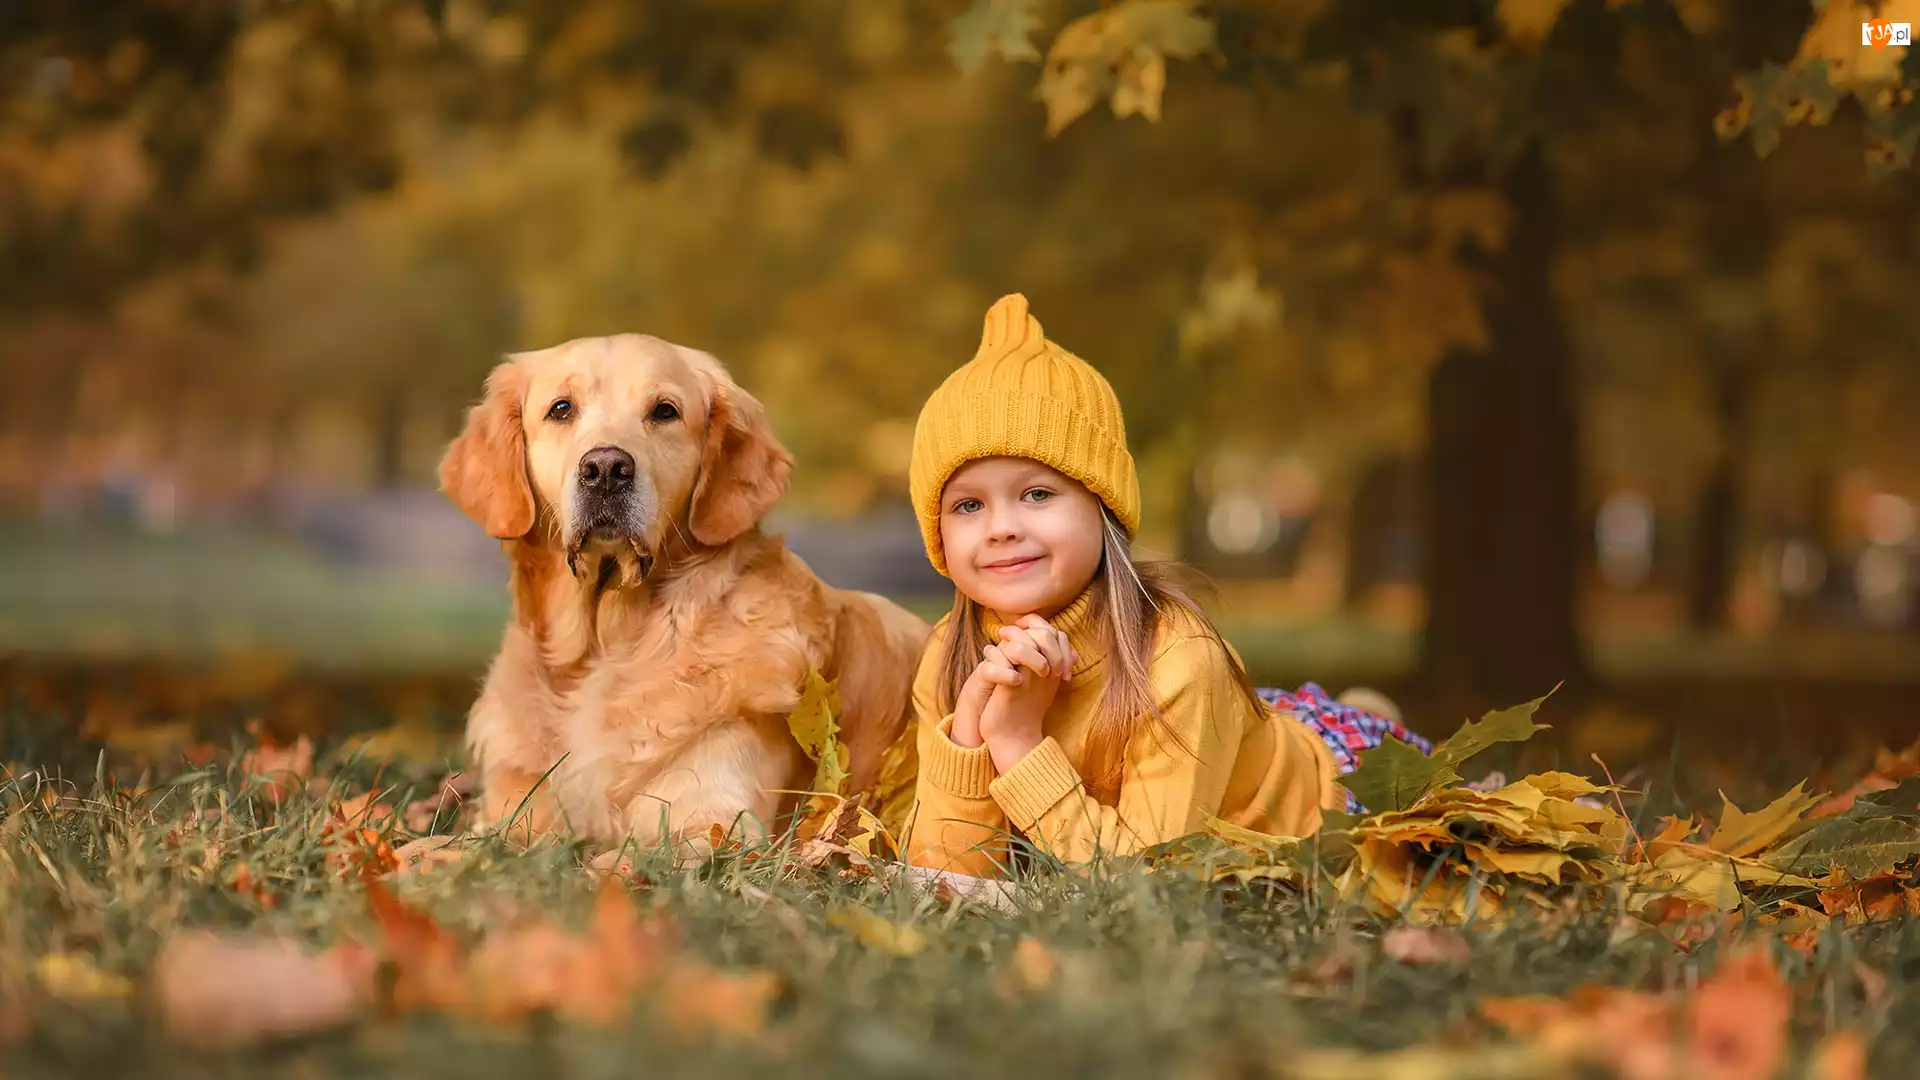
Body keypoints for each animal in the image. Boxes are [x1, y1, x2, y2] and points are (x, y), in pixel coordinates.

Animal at [443, 332, 936, 853]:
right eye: (561, 409)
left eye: (664, 411)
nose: (606, 468)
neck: (608, 645)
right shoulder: (503, 818)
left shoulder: (717, 826)